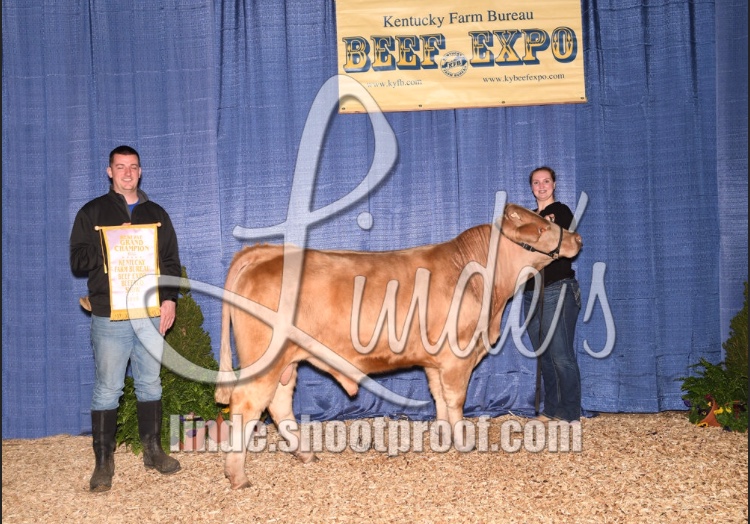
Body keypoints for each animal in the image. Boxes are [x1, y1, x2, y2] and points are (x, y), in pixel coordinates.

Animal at [214, 203, 584, 490]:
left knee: (278, 402)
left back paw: (305, 454)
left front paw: (443, 437)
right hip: (266, 358)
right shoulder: (457, 357)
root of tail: (267, 252)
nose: (577, 238)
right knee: (247, 403)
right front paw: (463, 442)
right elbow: (456, 399)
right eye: (542, 226)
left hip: (287, 361)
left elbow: (440, 398)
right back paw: (237, 475)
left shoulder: (435, 361)